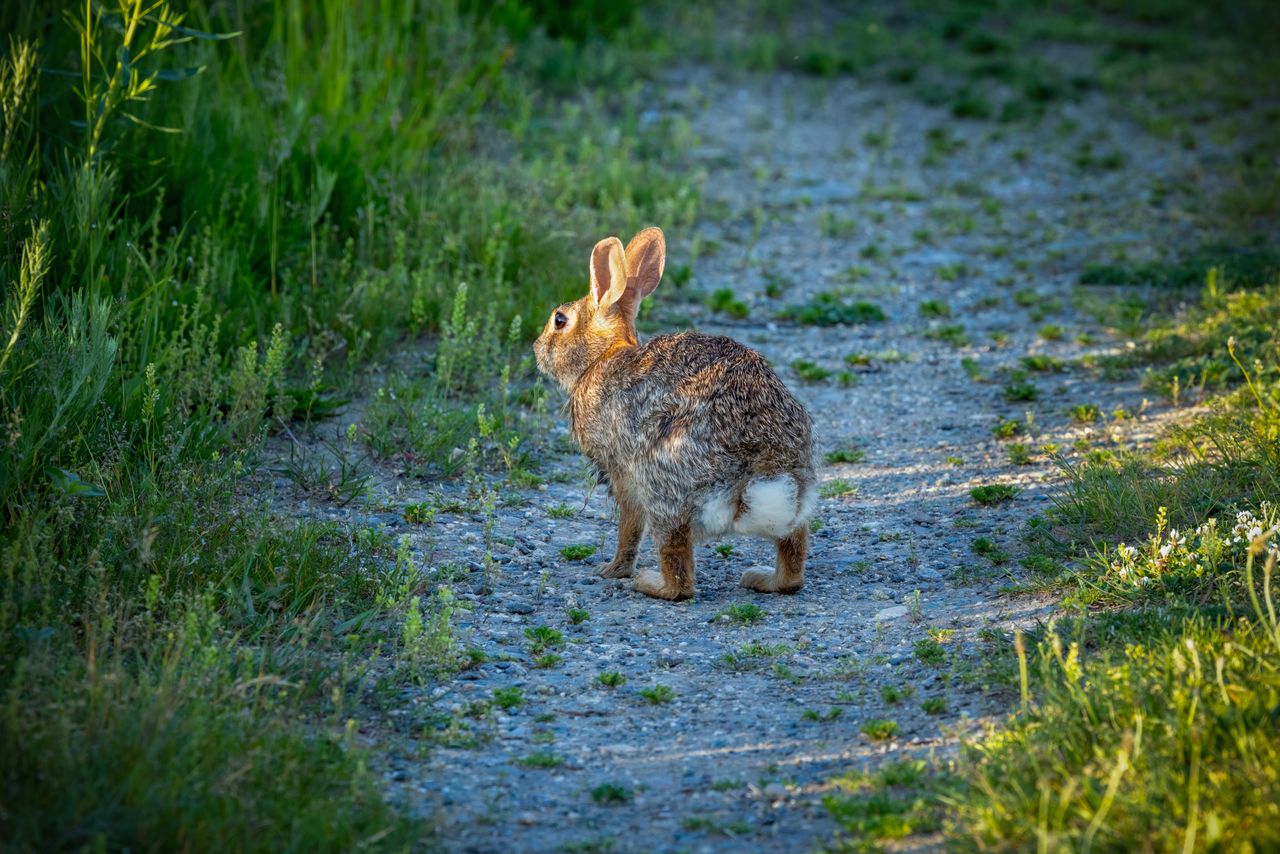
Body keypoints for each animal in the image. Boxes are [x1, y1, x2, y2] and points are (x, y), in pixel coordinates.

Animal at [533, 227, 816, 601]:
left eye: (559, 320)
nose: (537, 348)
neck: (601, 358)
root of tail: (759, 471)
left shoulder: (621, 471)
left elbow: (628, 525)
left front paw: (612, 570)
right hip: (795, 506)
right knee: (793, 560)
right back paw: (763, 578)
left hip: (663, 491)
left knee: (679, 578)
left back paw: (648, 582)